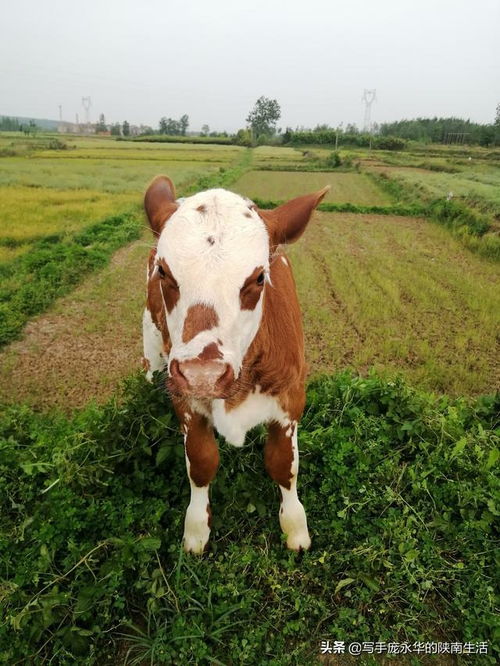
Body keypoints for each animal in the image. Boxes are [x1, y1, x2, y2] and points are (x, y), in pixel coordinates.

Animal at [141, 174, 328, 552]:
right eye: (164, 272)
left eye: (258, 278)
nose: (203, 374)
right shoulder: (185, 399)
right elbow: (201, 462)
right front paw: (196, 529)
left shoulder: (291, 400)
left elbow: (283, 465)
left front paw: (295, 527)